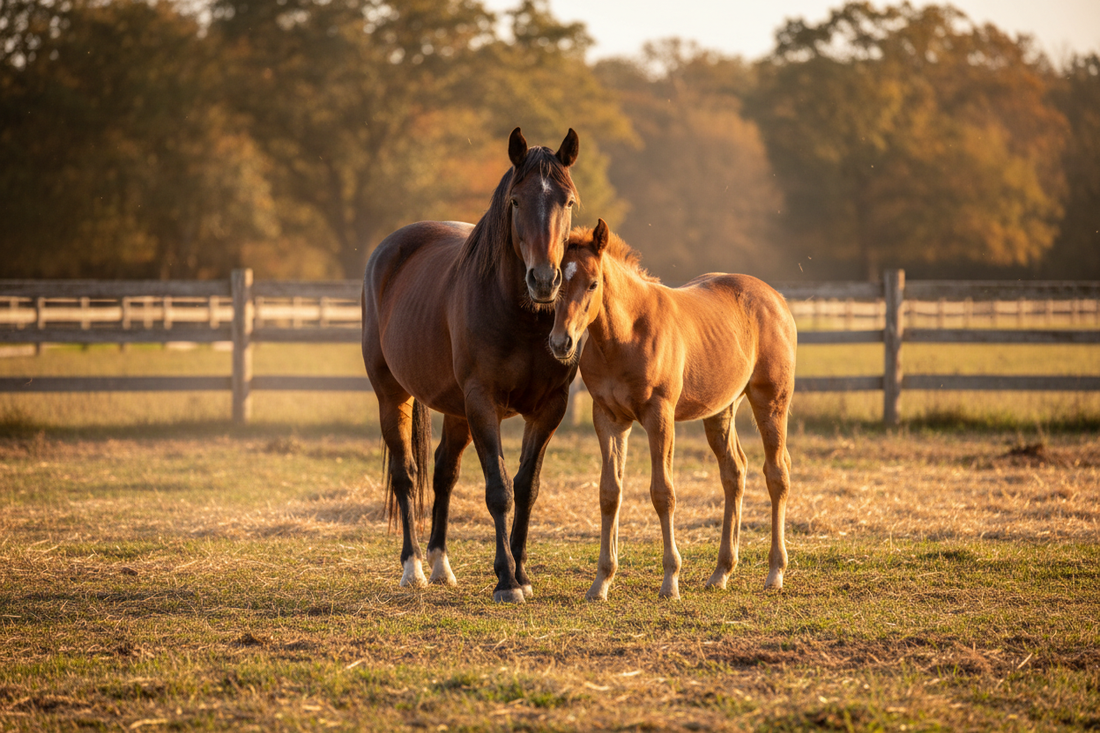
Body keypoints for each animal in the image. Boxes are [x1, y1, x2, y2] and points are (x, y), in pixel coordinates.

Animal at [361, 128, 581, 603]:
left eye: (569, 201)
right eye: (515, 201)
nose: (544, 280)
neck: (522, 318)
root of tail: (388, 249)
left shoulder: (548, 408)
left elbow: (527, 487)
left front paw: (522, 573)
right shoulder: (483, 403)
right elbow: (499, 490)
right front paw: (506, 580)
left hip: (455, 409)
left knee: (444, 473)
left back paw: (440, 564)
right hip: (392, 394)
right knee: (406, 475)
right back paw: (413, 568)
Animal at [548, 219, 797, 600]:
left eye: (593, 283)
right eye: (558, 280)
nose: (561, 343)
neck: (624, 336)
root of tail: (776, 299)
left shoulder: (659, 416)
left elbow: (663, 493)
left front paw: (670, 580)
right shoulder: (608, 418)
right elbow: (609, 493)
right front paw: (601, 581)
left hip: (771, 401)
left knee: (777, 473)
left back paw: (775, 573)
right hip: (720, 410)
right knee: (734, 472)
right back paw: (721, 572)